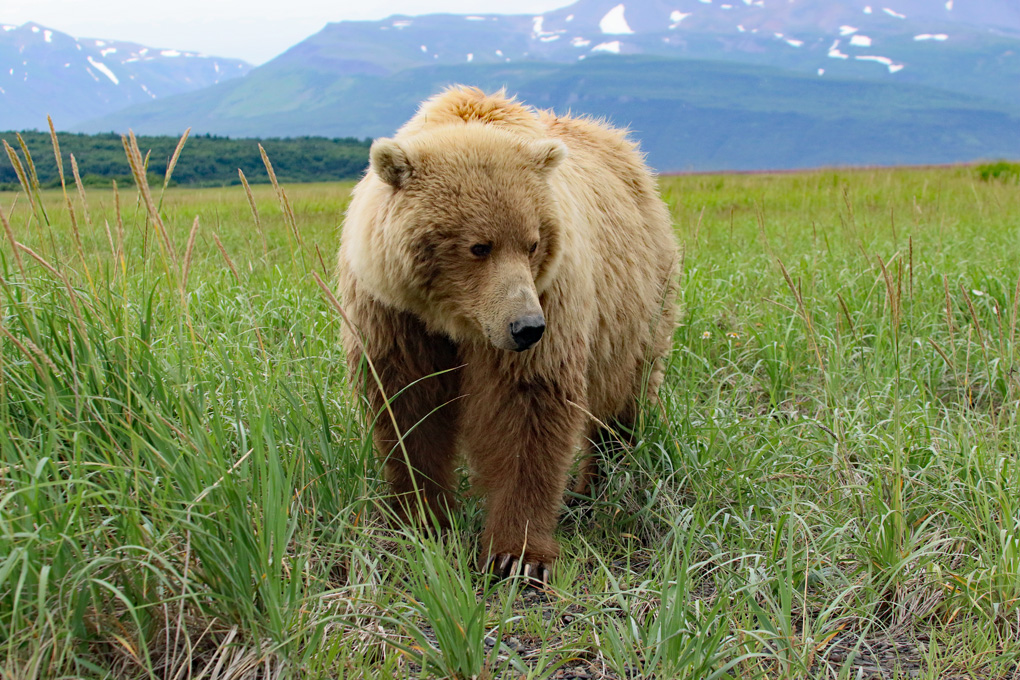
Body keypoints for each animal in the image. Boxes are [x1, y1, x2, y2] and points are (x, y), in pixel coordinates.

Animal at [338, 85, 681, 587]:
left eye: (533, 242)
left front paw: (516, 555)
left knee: (624, 398)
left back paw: (599, 484)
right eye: (479, 246)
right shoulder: (394, 312)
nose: (527, 327)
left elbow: (528, 408)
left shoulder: (552, 293)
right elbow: (408, 407)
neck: (454, 319)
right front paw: (422, 519)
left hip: (641, 302)